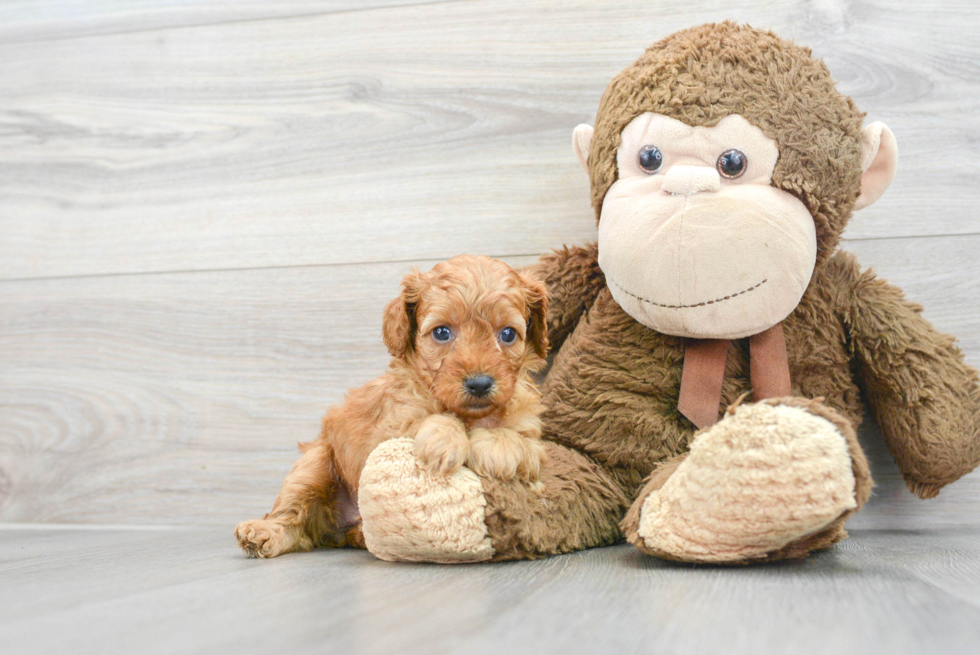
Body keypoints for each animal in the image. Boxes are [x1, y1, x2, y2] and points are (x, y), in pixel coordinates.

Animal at [234, 254, 548, 556]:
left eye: (508, 334)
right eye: (442, 332)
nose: (480, 384)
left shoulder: (535, 442)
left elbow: (521, 442)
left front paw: (496, 447)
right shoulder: (391, 429)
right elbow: (434, 421)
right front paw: (444, 441)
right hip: (313, 464)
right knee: (292, 518)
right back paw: (263, 533)